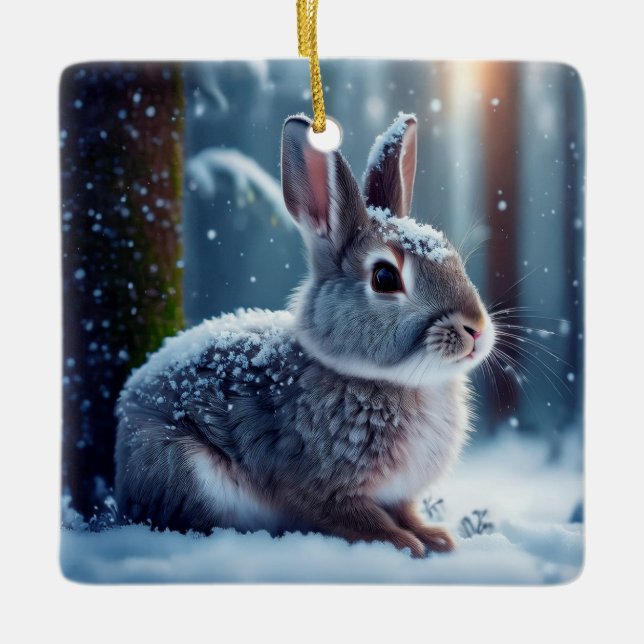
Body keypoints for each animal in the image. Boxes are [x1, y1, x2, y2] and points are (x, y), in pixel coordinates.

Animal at [114, 112, 495, 558]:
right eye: (385, 278)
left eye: (452, 257)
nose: (475, 329)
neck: (398, 381)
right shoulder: (322, 488)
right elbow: (358, 519)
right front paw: (406, 545)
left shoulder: (398, 494)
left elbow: (405, 510)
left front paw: (436, 538)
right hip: (188, 469)